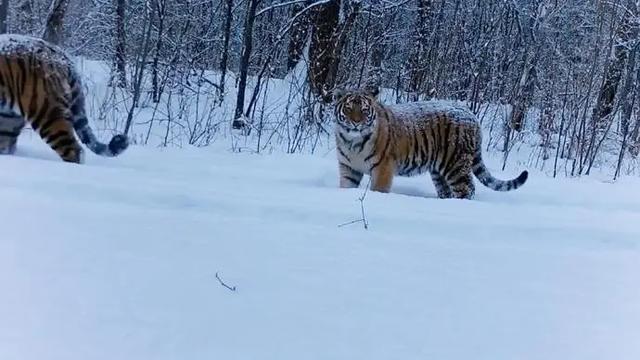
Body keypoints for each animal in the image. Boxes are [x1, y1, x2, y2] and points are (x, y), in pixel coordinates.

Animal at [328, 86, 528, 200]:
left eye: (364, 110)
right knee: (447, 191)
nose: (356, 122)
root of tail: (471, 115)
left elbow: (378, 190)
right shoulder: (349, 169)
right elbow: (346, 187)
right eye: (348, 108)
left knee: (466, 189)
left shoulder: (382, 169)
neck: (353, 142)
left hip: (456, 164)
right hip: (439, 171)